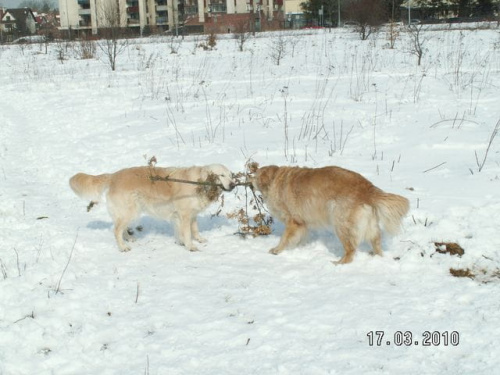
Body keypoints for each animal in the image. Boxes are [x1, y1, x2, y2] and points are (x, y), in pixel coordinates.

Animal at [69, 165, 235, 251]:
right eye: (221, 175)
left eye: (231, 175)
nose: (233, 185)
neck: (199, 183)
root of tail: (113, 176)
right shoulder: (184, 215)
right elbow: (187, 232)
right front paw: (190, 246)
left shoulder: (190, 215)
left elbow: (193, 229)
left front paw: (196, 239)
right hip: (130, 210)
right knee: (116, 230)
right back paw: (123, 247)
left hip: (130, 211)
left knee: (121, 227)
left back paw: (129, 238)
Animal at [252, 166, 408, 266]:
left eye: (256, 175)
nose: (249, 178)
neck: (276, 180)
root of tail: (368, 188)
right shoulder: (303, 224)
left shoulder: (294, 221)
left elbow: (285, 238)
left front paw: (276, 250)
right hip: (370, 226)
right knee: (376, 244)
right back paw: (376, 256)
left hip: (340, 223)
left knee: (351, 250)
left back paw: (339, 263)